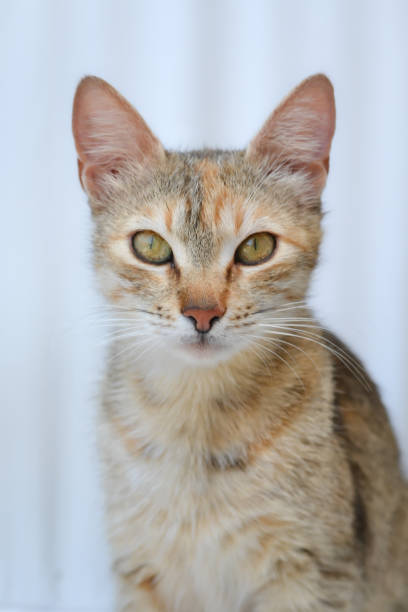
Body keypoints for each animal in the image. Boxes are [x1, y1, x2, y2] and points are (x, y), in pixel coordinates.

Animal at [71, 74, 406, 608]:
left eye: (256, 248)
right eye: (150, 246)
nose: (202, 313)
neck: (195, 423)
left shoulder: (314, 572)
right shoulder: (141, 567)